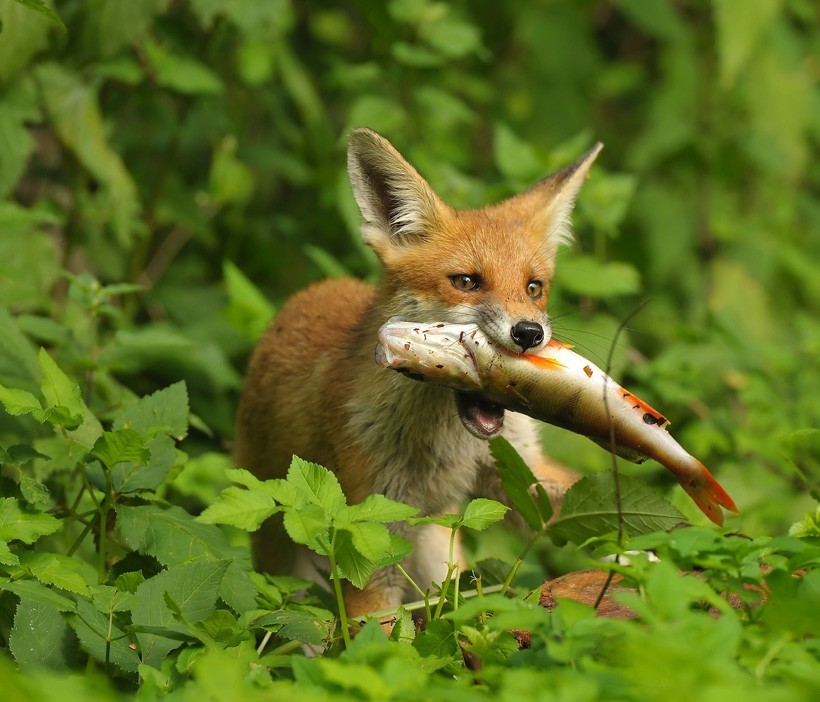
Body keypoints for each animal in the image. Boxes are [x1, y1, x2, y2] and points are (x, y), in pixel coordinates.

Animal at [237, 128, 604, 620]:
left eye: (534, 288)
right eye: (466, 282)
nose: (529, 333)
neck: (449, 447)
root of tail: (300, 298)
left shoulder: (514, 473)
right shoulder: (371, 533)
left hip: (439, 545)